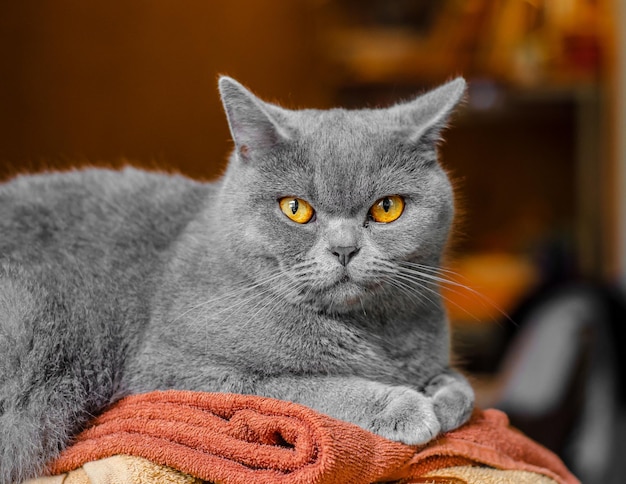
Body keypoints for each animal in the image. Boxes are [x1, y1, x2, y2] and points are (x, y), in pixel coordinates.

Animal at [0, 77, 470, 482]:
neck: (371, 333)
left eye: (388, 207)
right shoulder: (176, 371)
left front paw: (445, 399)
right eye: (295, 208)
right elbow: (307, 389)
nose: (344, 249)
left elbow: (461, 388)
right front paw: (406, 406)